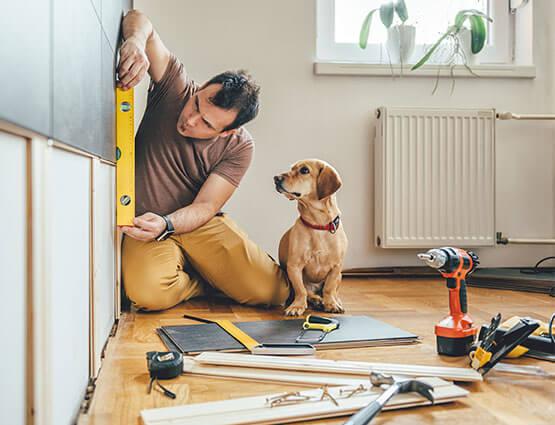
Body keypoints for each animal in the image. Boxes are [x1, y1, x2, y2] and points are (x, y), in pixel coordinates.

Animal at [274, 158, 348, 314]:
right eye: (291, 168)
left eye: (304, 170)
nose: (276, 178)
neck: (318, 225)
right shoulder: (294, 266)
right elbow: (301, 290)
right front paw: (297, 306)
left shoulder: (336, 267)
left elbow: (329, 288)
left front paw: (331, 304)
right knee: (309, 292)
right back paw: (316, 300)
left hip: (340, 275)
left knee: (332, 291)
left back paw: (333, 300)